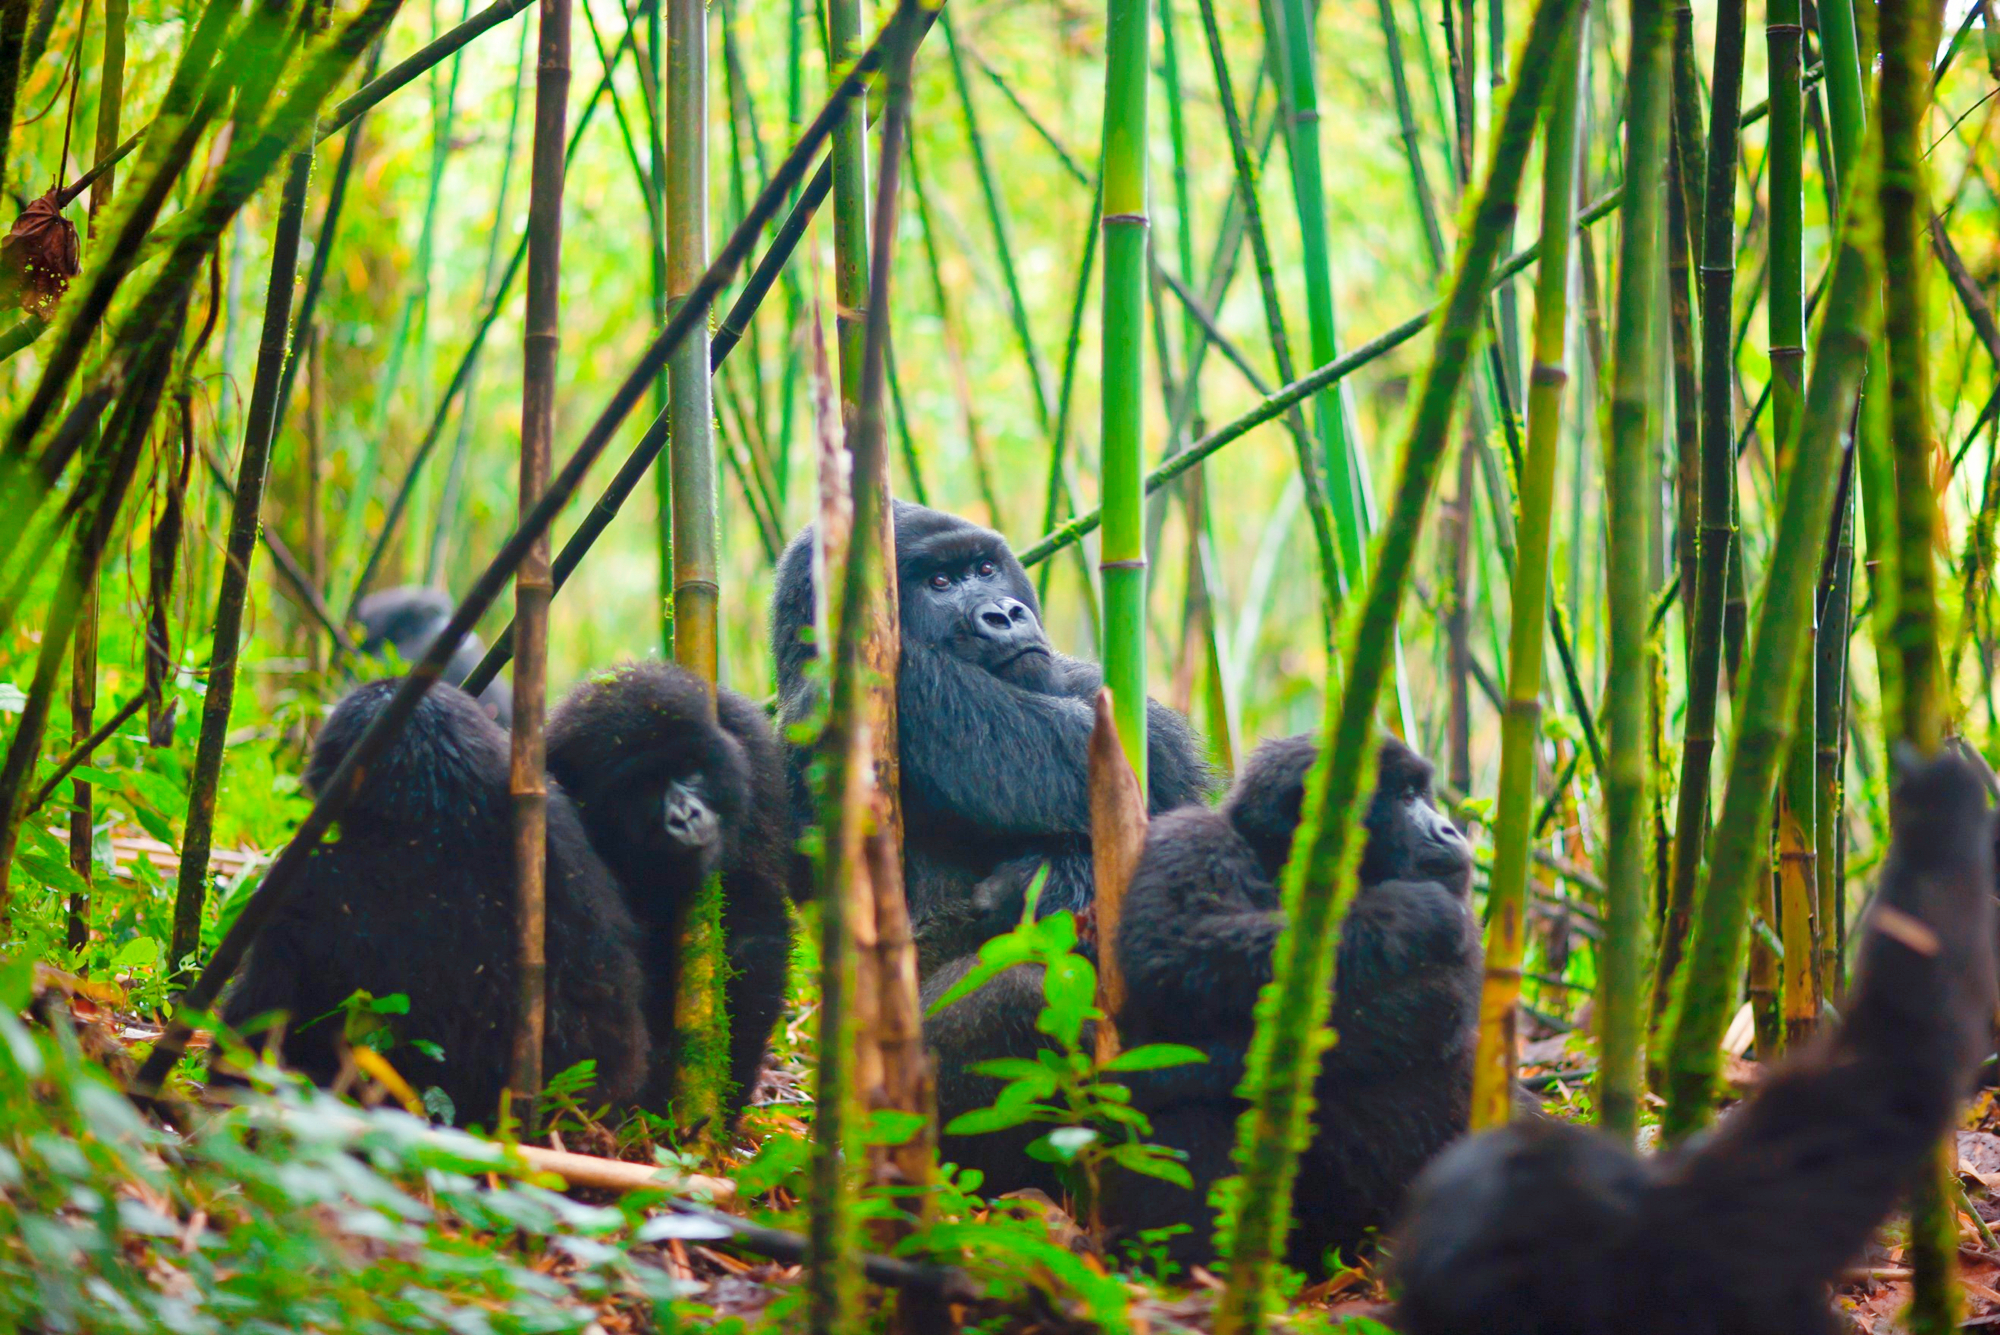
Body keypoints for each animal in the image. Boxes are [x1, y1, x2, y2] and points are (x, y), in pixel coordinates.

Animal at [1104, 731, 1480, 1271]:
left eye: (1421, 794)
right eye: (1407, 798)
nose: (1449, 829)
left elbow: (1430, 1005)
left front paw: (1173, 1071)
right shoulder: (1189, 835)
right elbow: (1173, 946)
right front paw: (1408, 911)